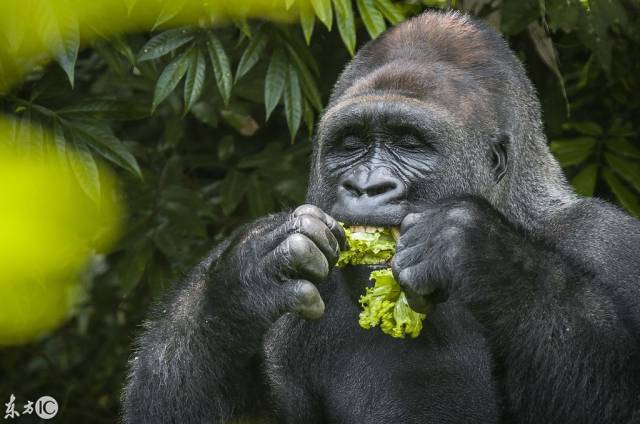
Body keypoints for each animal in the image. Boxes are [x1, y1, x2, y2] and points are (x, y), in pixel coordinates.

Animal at [124, 9, 640, 424]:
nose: (366, 186)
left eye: (409, 142)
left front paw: (481, 254)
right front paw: (246, 277)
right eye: (351, 143)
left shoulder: (611, 245)